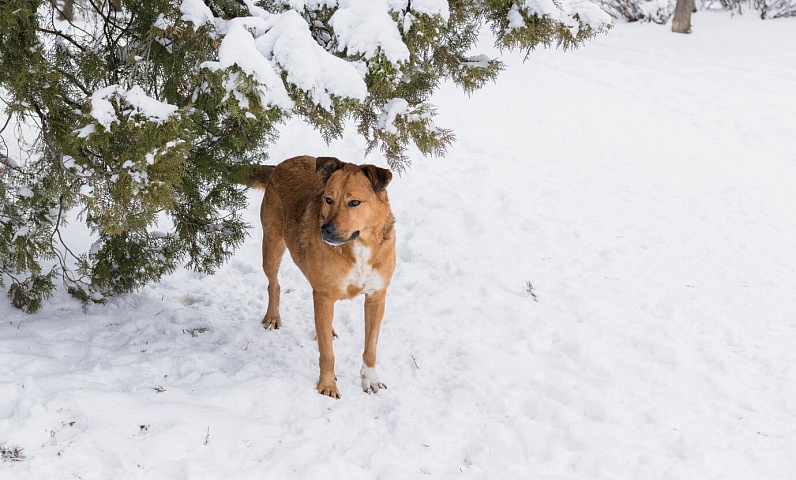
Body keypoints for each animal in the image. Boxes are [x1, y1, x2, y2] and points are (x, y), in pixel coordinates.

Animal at [246, 155, 394, 398]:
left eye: (354, 203)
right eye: (328, 199)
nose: (326, 229)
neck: (358, 247)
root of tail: (284, 163)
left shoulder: (376, 296)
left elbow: (371, 346)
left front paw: (370, 379)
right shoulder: (323, 295)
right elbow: (327, 352)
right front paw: (327, 385)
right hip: (272, 247)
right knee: (274, 284)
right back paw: (273, 316)